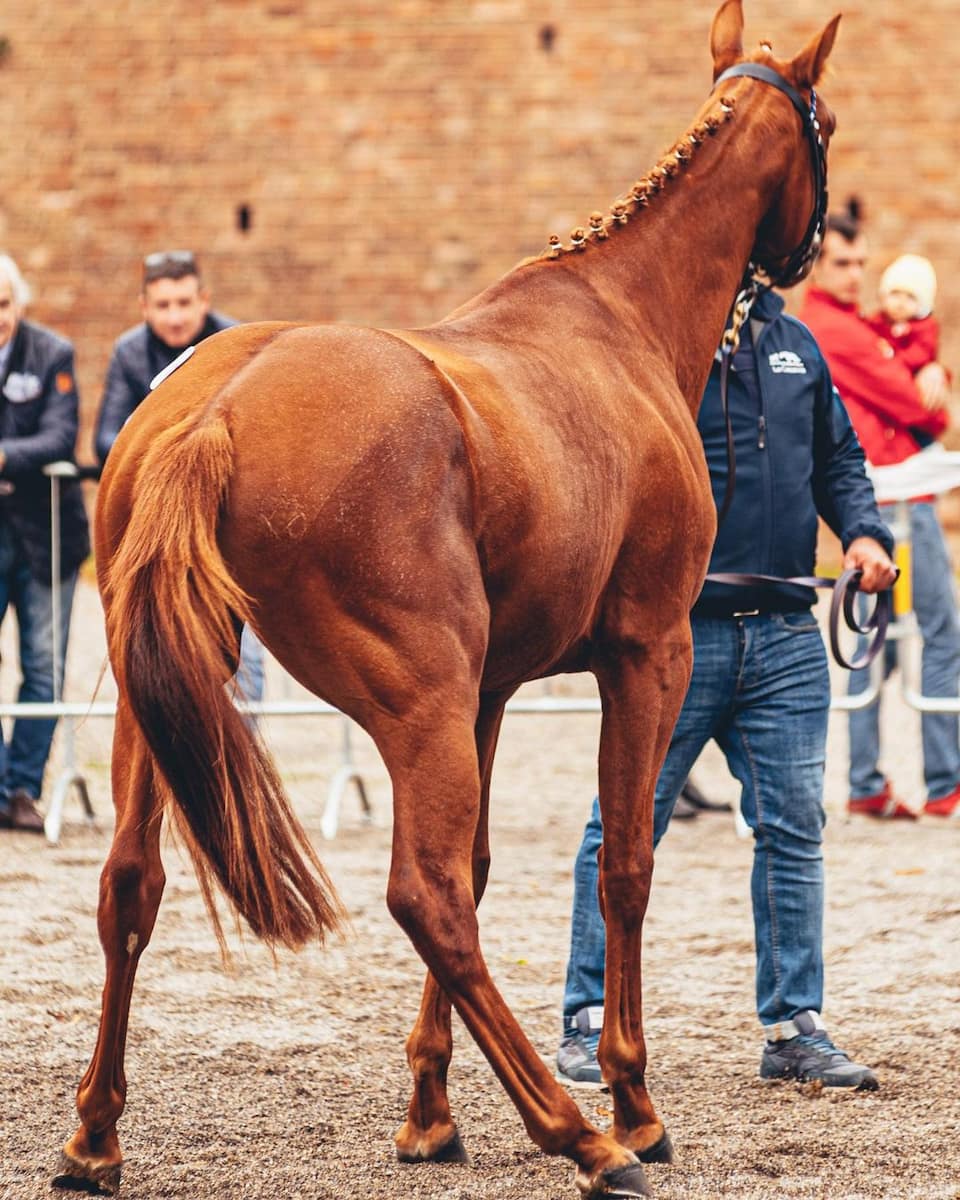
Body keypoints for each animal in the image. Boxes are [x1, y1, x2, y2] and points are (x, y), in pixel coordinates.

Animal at [54, 3, 839, 1196]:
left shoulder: (492, 689)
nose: (816, 247)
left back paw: (95, 1133)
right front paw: (635, 1100)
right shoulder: (650, 652)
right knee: (423, 897)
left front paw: (428, 1109)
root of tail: (217, 408)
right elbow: (620, 866)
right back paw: (583, 1135)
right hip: (418, 697)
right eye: (825, 122)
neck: (616, 318)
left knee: (131, 885)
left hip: (178, 697)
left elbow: (478, 866)